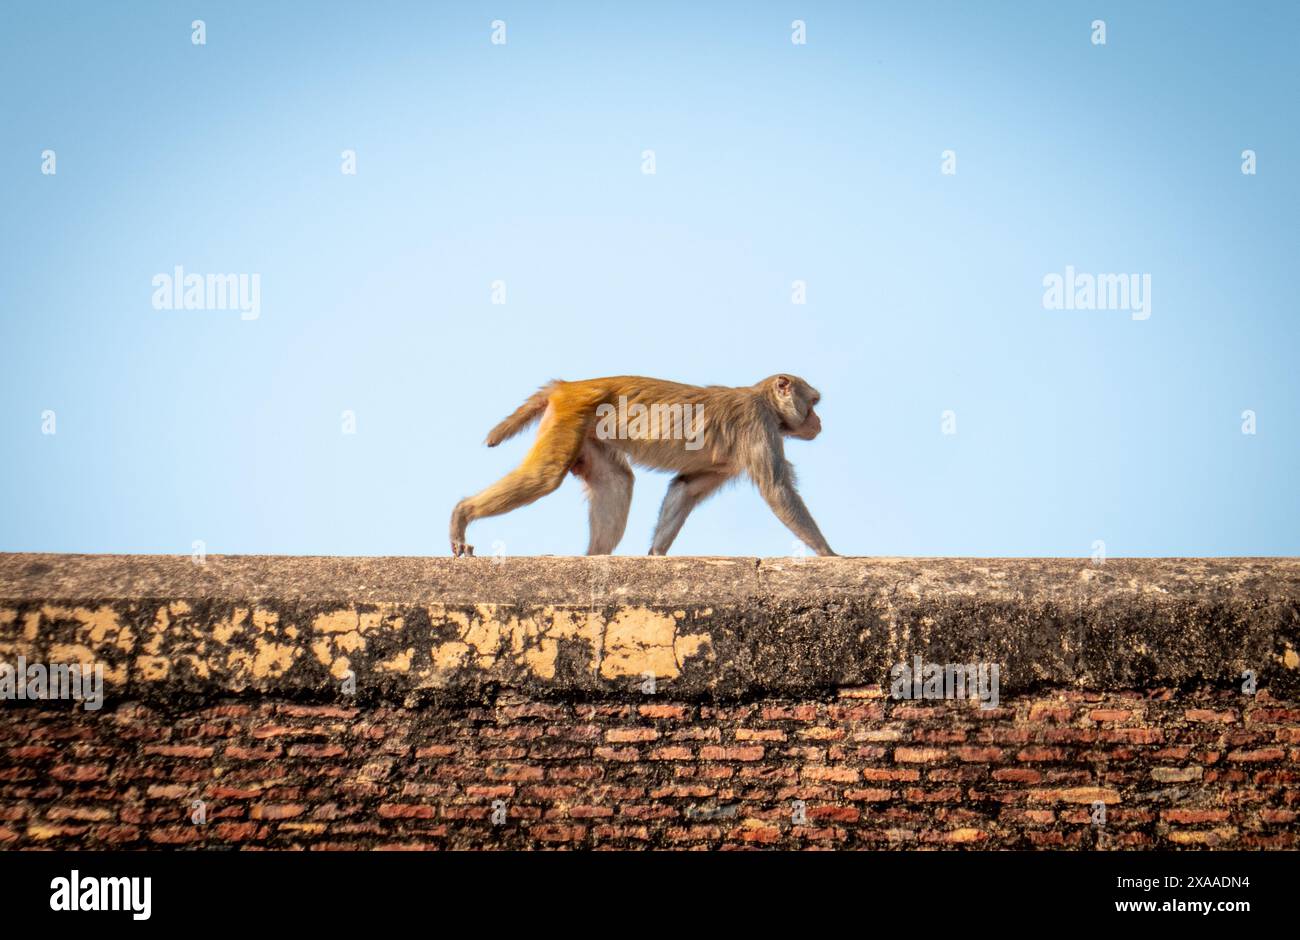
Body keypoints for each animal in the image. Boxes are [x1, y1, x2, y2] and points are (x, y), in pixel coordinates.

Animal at [447, 374, 837, 559]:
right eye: (814, 402)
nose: (818, 422)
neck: (764, 400)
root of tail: (568, 386)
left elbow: (684, 489)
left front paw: (656, 555)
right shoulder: (759, 426)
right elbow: (776, 489)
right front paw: (827, 553)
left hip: (586, 429)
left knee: (616, 482)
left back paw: (595, 556)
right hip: (571, 414)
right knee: (544, 476)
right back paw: (462, 514)